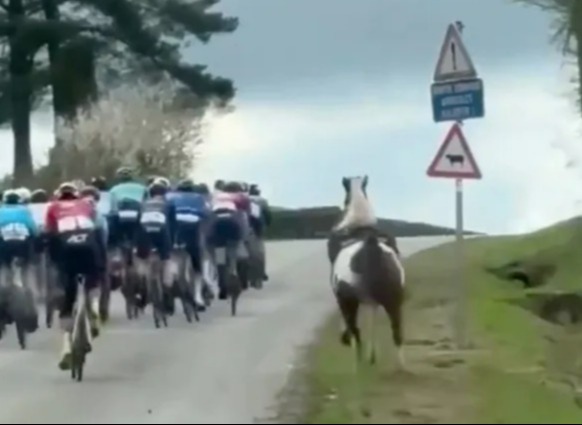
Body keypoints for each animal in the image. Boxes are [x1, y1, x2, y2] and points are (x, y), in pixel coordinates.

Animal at [328, 176, 406, 368]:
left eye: (345, 199)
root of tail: (373, 248)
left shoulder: (345, 298)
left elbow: (354, 327)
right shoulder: (371, 300)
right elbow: (371, 322)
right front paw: (372, 357)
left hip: (354, 300)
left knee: (356, 328)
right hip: (394, 299)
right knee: (397, 331)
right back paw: (401, 366)